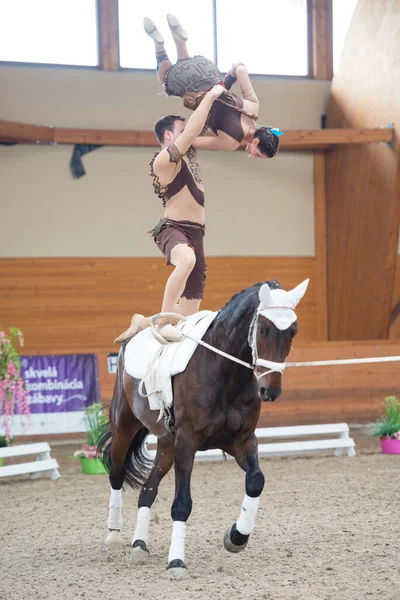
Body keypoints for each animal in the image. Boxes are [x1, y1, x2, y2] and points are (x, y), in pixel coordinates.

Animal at [97, 278, 310, 580]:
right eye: (263, 329)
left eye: (293, 331)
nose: (270, 391)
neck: (224, 371)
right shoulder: (187, 443)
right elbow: (182, 504)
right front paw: (176, 562)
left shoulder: (242, 440)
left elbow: (256, 481)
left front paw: (236, 537)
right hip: (124, 429)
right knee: (116, 474)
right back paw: (114, 536)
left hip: (167, 445)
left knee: (147, 490)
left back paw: (139, 545)